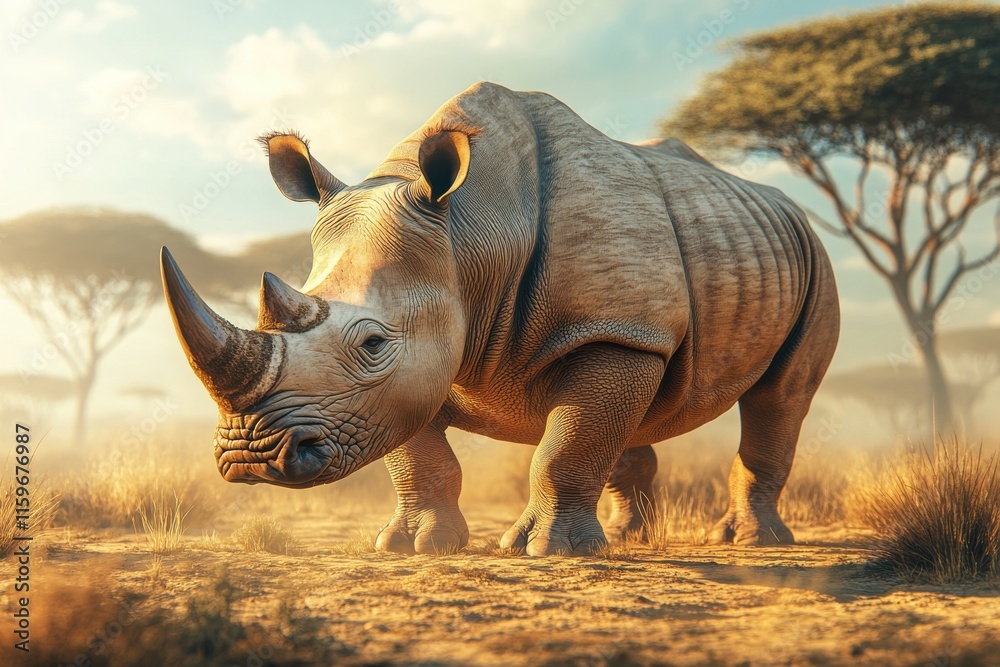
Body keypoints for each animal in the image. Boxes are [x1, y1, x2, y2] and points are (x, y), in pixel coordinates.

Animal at [161, 82, 839, 556]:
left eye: (373, 342)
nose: (250, 456)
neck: (466, 236)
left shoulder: (605, 328)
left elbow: (565, 443)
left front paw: (545, 551)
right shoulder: (417, 369)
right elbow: (419, 450)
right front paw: (413, 546)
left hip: (811, 261)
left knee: (780, 398)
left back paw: (750, 542)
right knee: (641, 401)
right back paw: (630, 540)